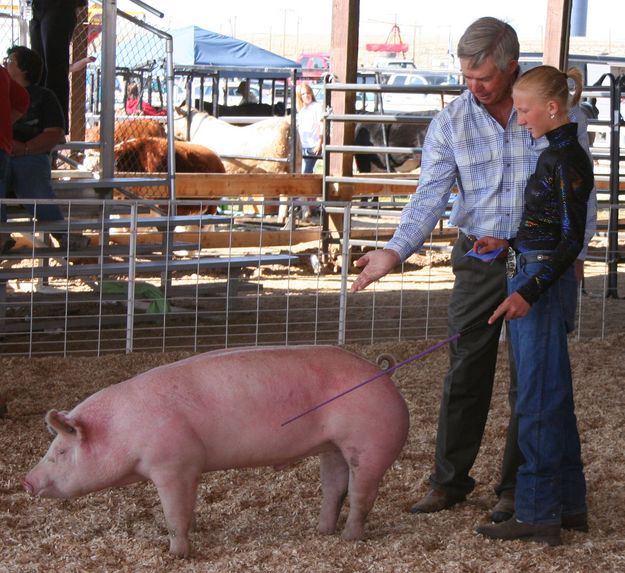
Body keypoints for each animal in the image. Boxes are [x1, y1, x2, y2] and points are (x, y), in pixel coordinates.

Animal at [22, 346, 410, 556]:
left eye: (60, 451)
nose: (26, 481)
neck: (123, 429)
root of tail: (383, 373)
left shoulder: (175, 464)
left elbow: (175, 515)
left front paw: (177, 555)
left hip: (370, 443)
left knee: (361, 494)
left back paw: (349, 536)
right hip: (333, 447)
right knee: (334, 486)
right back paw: (322, 531)